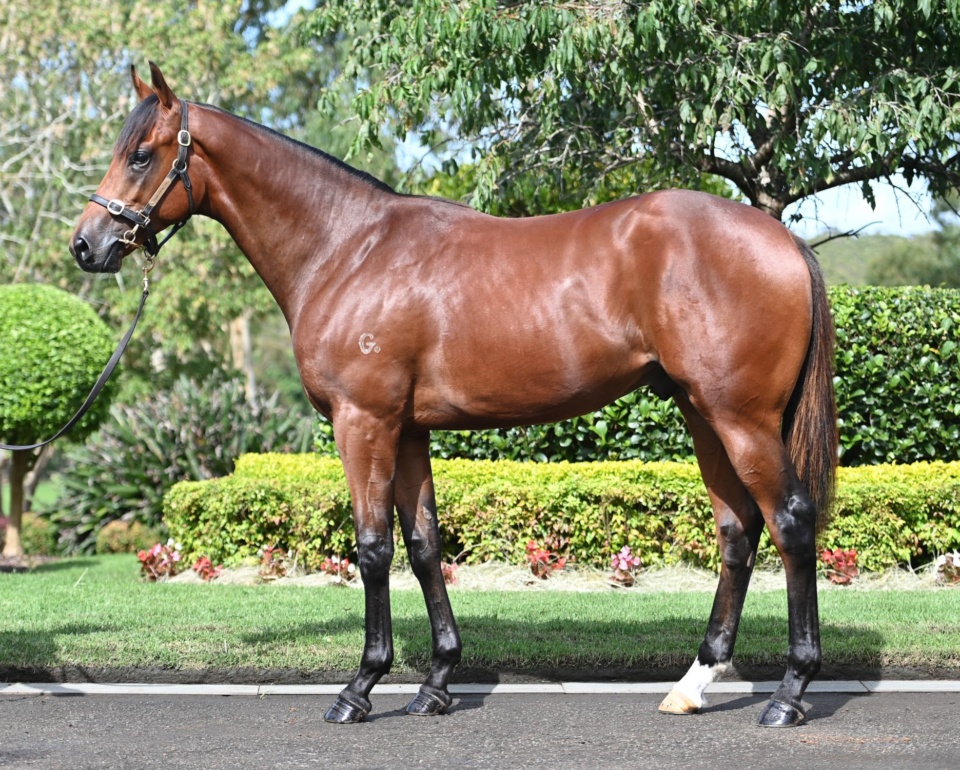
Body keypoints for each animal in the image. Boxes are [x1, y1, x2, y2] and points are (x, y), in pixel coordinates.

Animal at [70, 63, 837, 727]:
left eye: (141, 154)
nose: (87, 244)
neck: (347, 249)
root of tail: (782, 240)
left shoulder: (363, 423)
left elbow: (372, 547)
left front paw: (360, 688)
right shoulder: (408, 429)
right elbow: (423, 544)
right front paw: (436, 683)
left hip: (741, 419)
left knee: (791, 522)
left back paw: (789, 694)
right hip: (703, 413)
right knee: (738, 530)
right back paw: (693, 685)